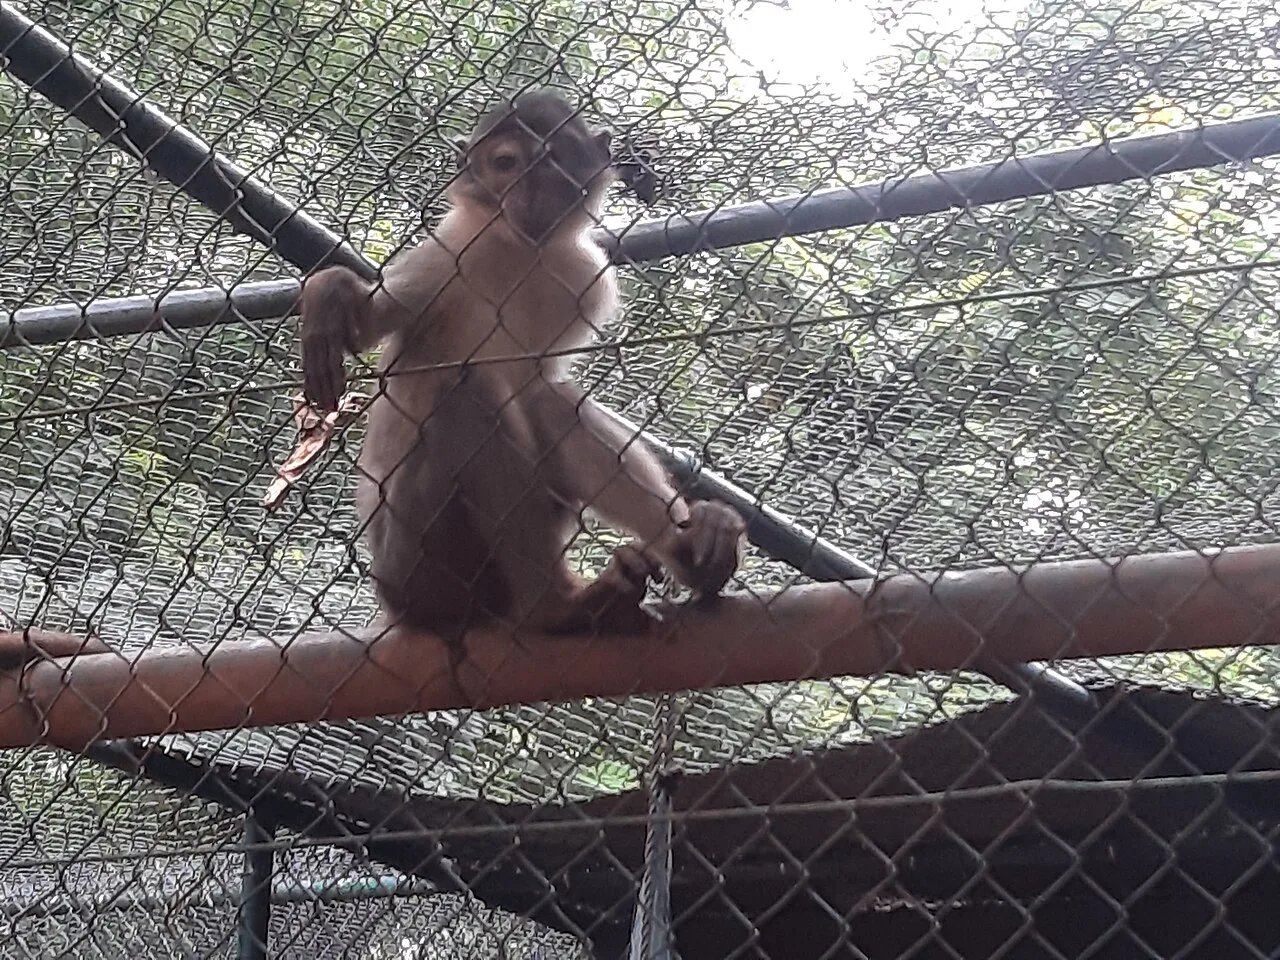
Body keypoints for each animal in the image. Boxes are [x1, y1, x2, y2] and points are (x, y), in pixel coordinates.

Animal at [299, 90, 746, 641]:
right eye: (506, 164)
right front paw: (329, 298)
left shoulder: (584, 277)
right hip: (418, 560)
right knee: (465, 388)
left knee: (545, 402)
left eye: (551, 162)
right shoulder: (450, 251)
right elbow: (369, 324)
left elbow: (540, 387)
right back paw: (552, 607)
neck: (522, 251)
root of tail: (394, 609)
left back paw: (693, 552)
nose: (529, 196)